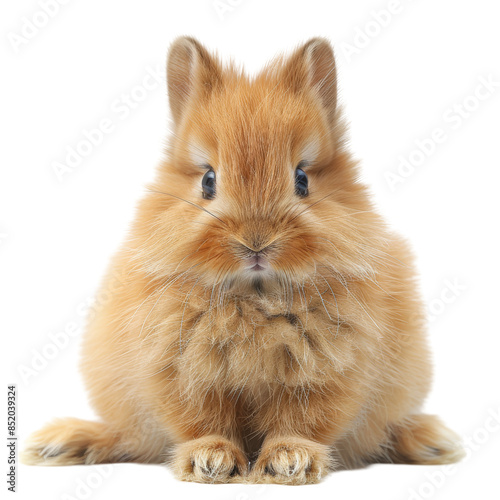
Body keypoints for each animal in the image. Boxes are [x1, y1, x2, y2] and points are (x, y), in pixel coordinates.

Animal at [21, 38, 462, 484]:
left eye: (302, 179)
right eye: (208, 181)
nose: (256, 243)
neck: (256, 297)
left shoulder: (326, 375)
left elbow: (301, 421)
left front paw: (290, 462)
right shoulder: (184, 375)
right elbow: (203, 422)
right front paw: (211, 461)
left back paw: (433, 441)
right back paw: (60, 444)